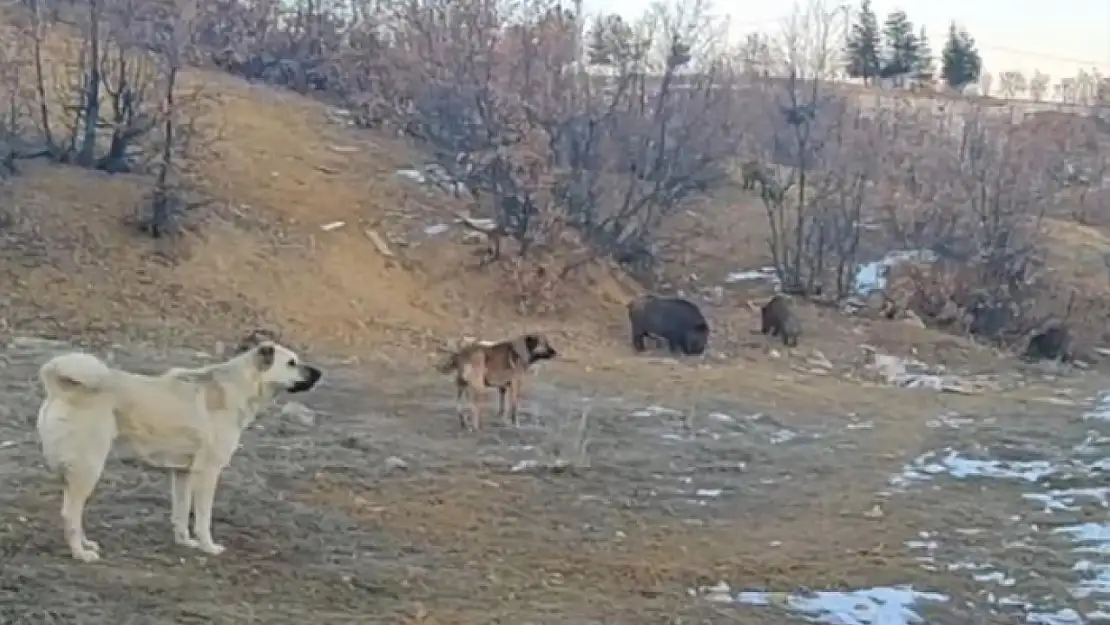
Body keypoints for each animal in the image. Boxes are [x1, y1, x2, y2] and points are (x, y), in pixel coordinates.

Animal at [35, 339, 321, 563]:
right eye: (292, 363)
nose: (319, 373)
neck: (240, 386)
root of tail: (60, 385)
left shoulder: (182, 473)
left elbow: (181, 513)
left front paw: (185, 542)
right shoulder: (207, 473)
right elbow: (203, 518)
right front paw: (208, 547)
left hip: (77, 471)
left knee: (73, 511)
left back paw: (86, 544)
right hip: (89, 468)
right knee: (70, 514)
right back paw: (80, 553)